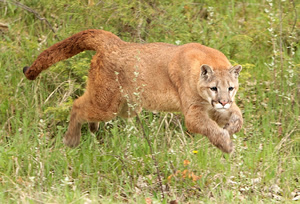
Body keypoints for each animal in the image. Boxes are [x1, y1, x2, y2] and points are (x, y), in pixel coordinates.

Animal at [23, 29, 244, 153]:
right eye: (213, 88)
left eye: (231, 88)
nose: (223, 101)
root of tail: (115, 42)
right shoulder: (193, 113)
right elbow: (209, 128)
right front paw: (226, 145)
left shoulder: (215, 108)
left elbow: (237, 117)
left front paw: (230, 129)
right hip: (107, 105)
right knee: (77, 105)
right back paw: (71, 139)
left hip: (123, 107)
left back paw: (92, 128)